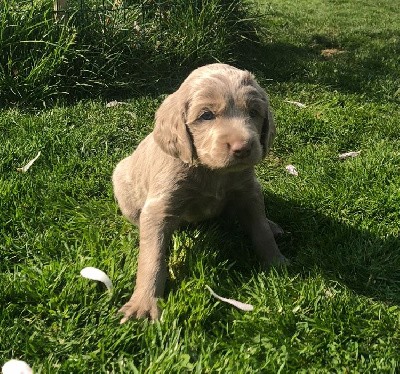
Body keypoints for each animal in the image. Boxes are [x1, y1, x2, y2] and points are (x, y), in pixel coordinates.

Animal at [112, 63, 286, 322]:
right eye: (206, 115)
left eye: (254, 112)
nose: (243, 148)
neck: (213, 172)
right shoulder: (159, 206)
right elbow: (152, 256)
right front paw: (143, 303)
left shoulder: (249, 191)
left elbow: (260, 229)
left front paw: (276, 260)